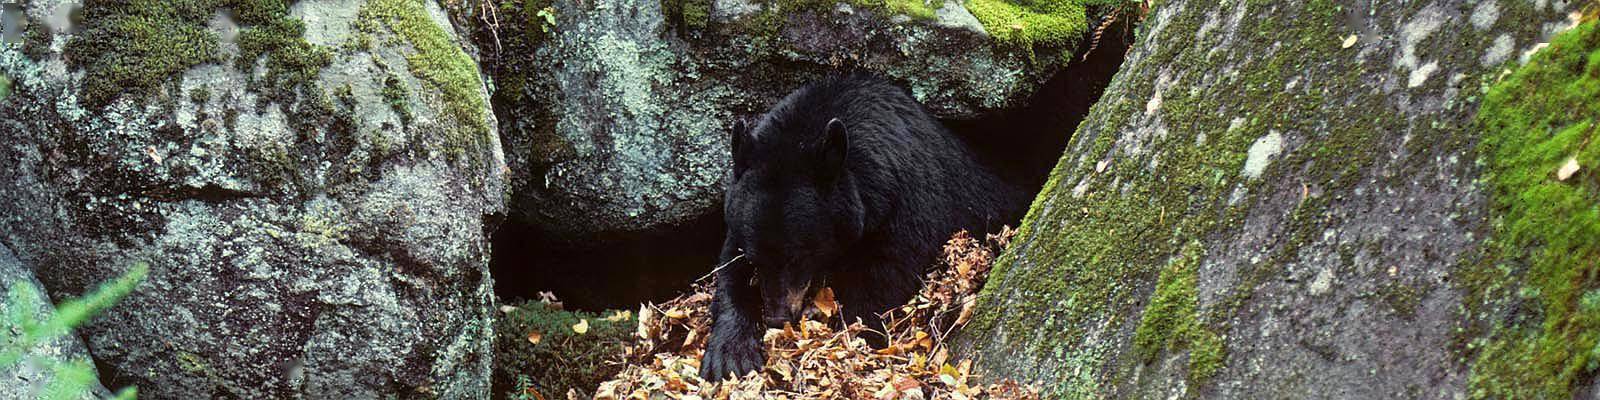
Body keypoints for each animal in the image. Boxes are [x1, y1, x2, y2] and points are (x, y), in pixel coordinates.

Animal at [700, 75, 1026, 381]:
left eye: (799, 257)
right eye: (756, 257)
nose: (778, 318)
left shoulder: (906, 207)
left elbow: (883, 281)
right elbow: (729, 269)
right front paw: (730, 352)